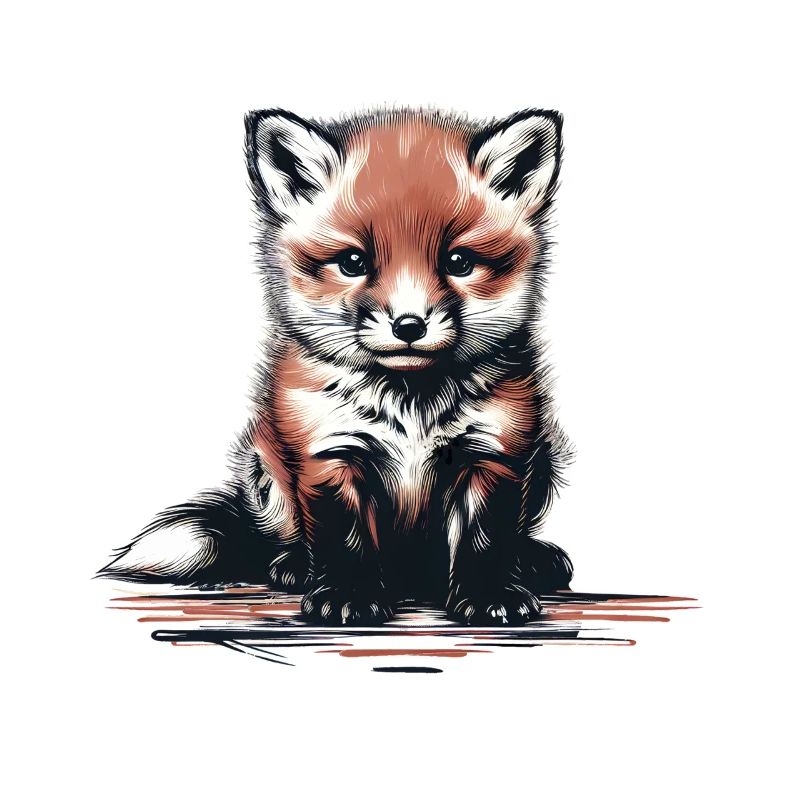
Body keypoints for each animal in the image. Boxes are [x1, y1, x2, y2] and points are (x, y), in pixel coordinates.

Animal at [99, 107, 575, 626]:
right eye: (352, 262)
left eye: (459, 261)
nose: (409, 325)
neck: (410, 405)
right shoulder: (328, 452)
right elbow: (344, 537)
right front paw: (349, 593)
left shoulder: (493, 451)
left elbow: (486, 537)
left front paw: (491, 592)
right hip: (265, 469)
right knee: (278, 539)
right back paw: (292, 565)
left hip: (544, 459)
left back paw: (533, 560)